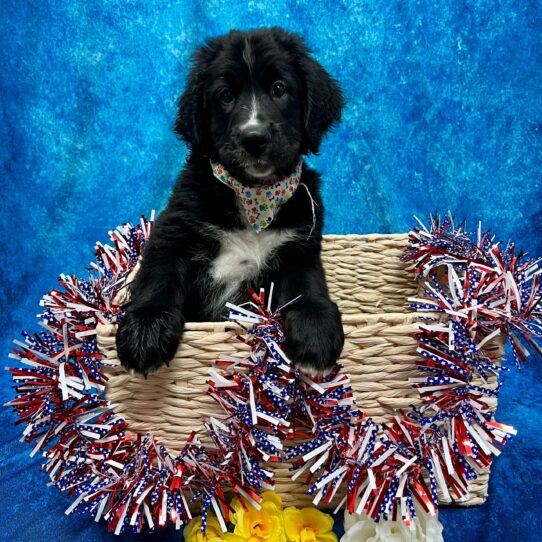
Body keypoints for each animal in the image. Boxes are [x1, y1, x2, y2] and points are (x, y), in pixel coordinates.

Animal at [118, 27, 346, 378]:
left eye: (279, 88)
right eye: (225, 96)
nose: (254, 138)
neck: (251, 199)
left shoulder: (300, 246)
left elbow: (306, 286)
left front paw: (316, 332)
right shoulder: (172, 231)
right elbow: (158, 277)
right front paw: (145, 330)